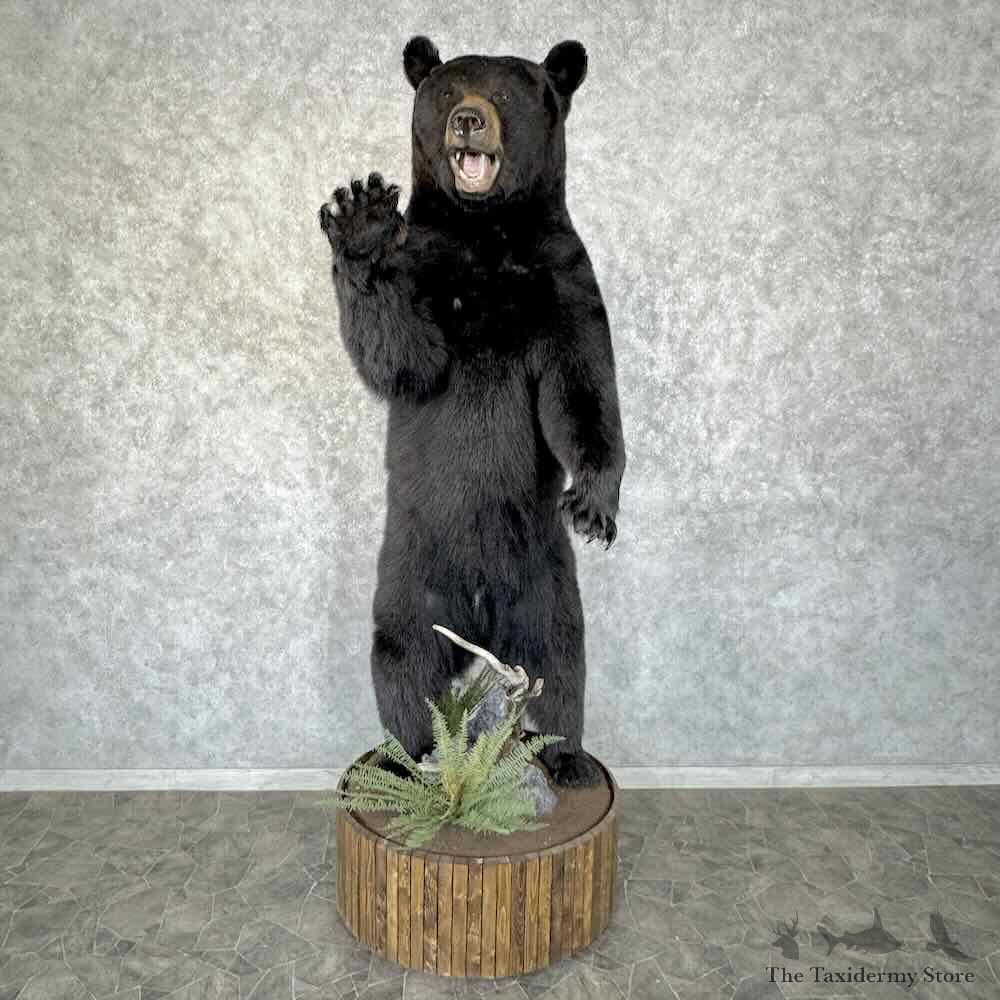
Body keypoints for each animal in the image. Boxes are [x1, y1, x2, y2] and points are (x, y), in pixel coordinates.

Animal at [319, 36, 626, 787]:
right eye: (448, 86)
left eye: (510, 90)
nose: (467, 119)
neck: (489, 239)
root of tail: (482, 629)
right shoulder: (427, 271)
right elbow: (406, 356)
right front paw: (361, 222)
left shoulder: (565, 280)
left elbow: (583, 388)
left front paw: (594, 502)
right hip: (409, 579)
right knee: (403, 667)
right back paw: (407, 762)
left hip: (547, 582)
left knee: (564, 663)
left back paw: (566, 758)